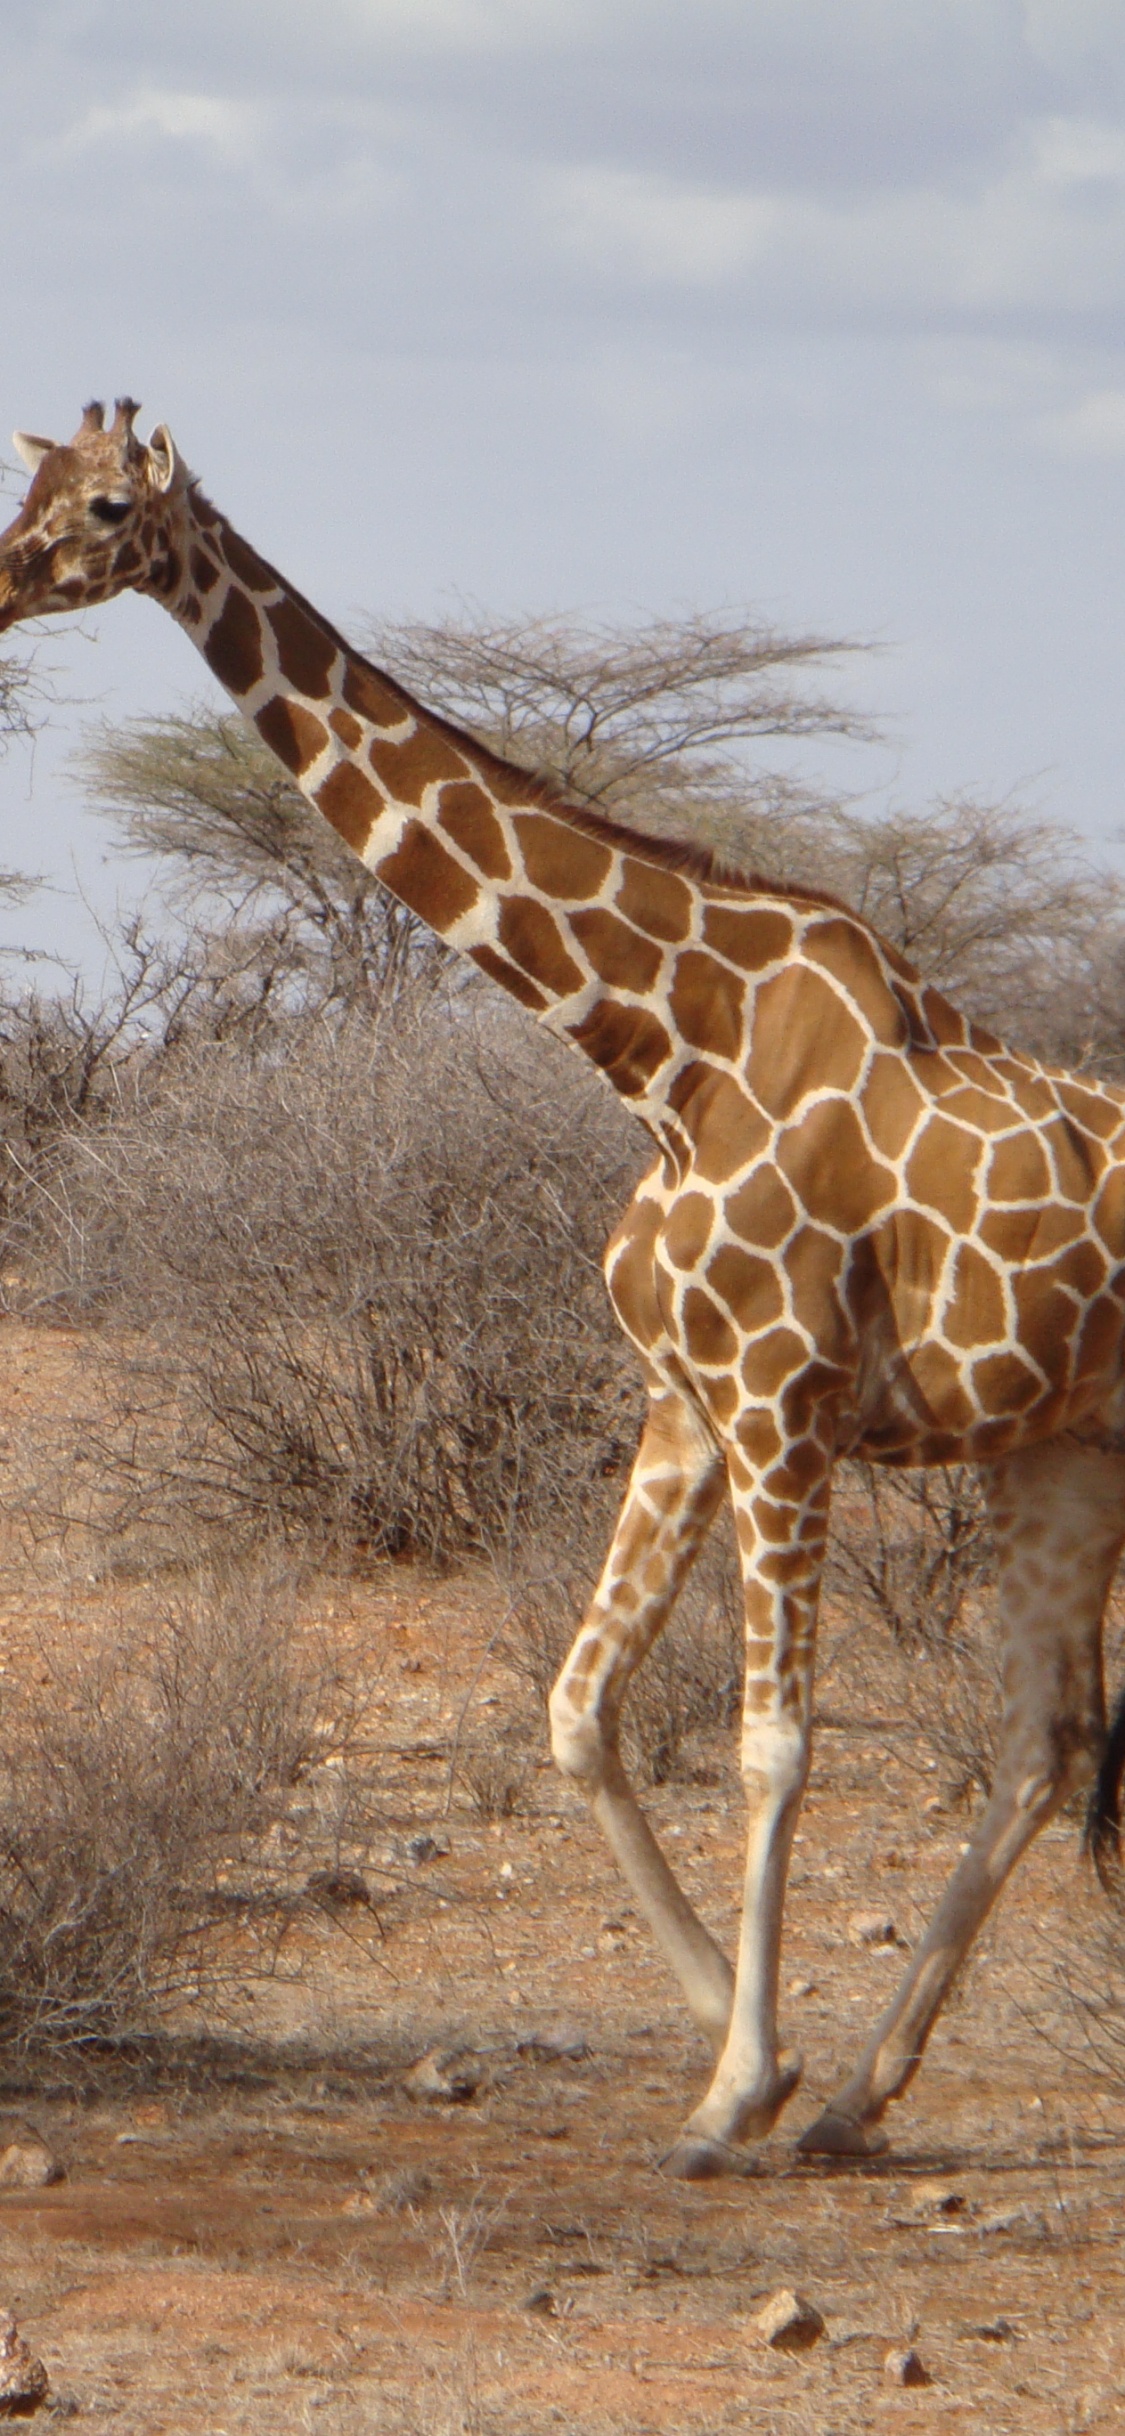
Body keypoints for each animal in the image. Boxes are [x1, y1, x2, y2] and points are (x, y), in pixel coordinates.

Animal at [3, 398, 1125, 2178]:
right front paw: (757, 2063)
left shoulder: (783, 1406)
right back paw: (860, 2099)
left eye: (108, 507)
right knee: (1039, 1746)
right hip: (1059, 1451)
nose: (0, 579)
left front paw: (732, 2092)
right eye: (28, 483)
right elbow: (578, 1710)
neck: (664, 1047)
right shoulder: (683, 1400)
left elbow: (770, 1745)